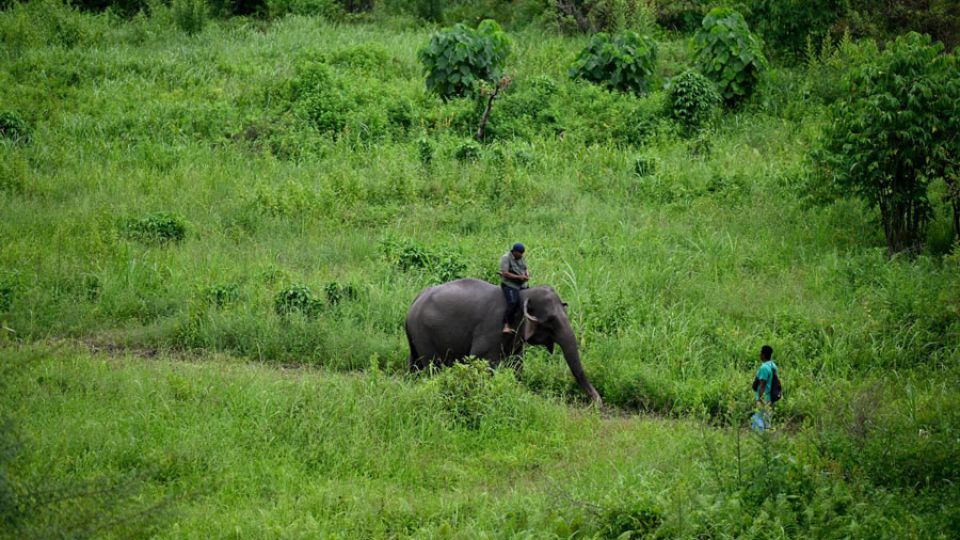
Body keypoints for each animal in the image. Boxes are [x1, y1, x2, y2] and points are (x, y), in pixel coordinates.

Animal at [405, 278, 602, 404]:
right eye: (551, 321)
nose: (598, 403)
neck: (522, 295)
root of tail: (413, 303)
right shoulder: (492, 328)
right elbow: (483, 361)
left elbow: (517, 364)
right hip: (424, 333)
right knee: (432, 366)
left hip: (416, 336)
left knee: (415, 364)